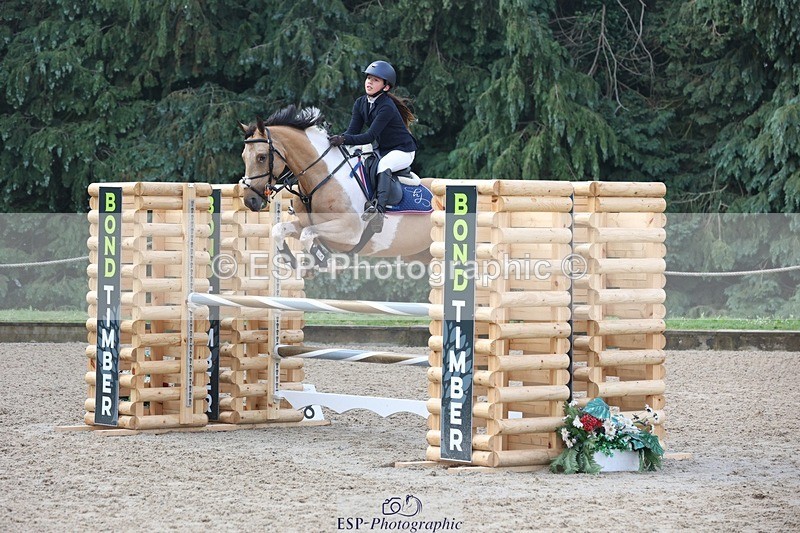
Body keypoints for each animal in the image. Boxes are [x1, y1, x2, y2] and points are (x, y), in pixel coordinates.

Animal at [238, 105, 434, 264]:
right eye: (243, 157)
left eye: (261, 157)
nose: (250, 200)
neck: (321, 177)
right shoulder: (306, 223)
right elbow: (279, 230)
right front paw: (290, 259)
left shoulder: (349, 230)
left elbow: (307, 234)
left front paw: (322, 260)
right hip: (421, 254)